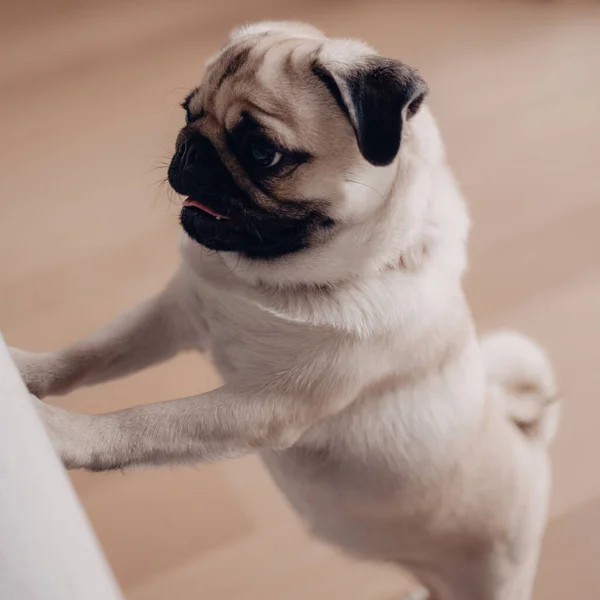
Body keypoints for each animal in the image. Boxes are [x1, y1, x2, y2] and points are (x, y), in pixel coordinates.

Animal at [9, 21, 560, 600]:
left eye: (262, 153)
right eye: (187, 112)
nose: (190, 147)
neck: (267, 286)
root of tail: (529, 439)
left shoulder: (264, 405)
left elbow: (151, 422)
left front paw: (58, 432)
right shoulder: (178, 312)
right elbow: (93, 351)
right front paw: (24, 372)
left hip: (490, 576)